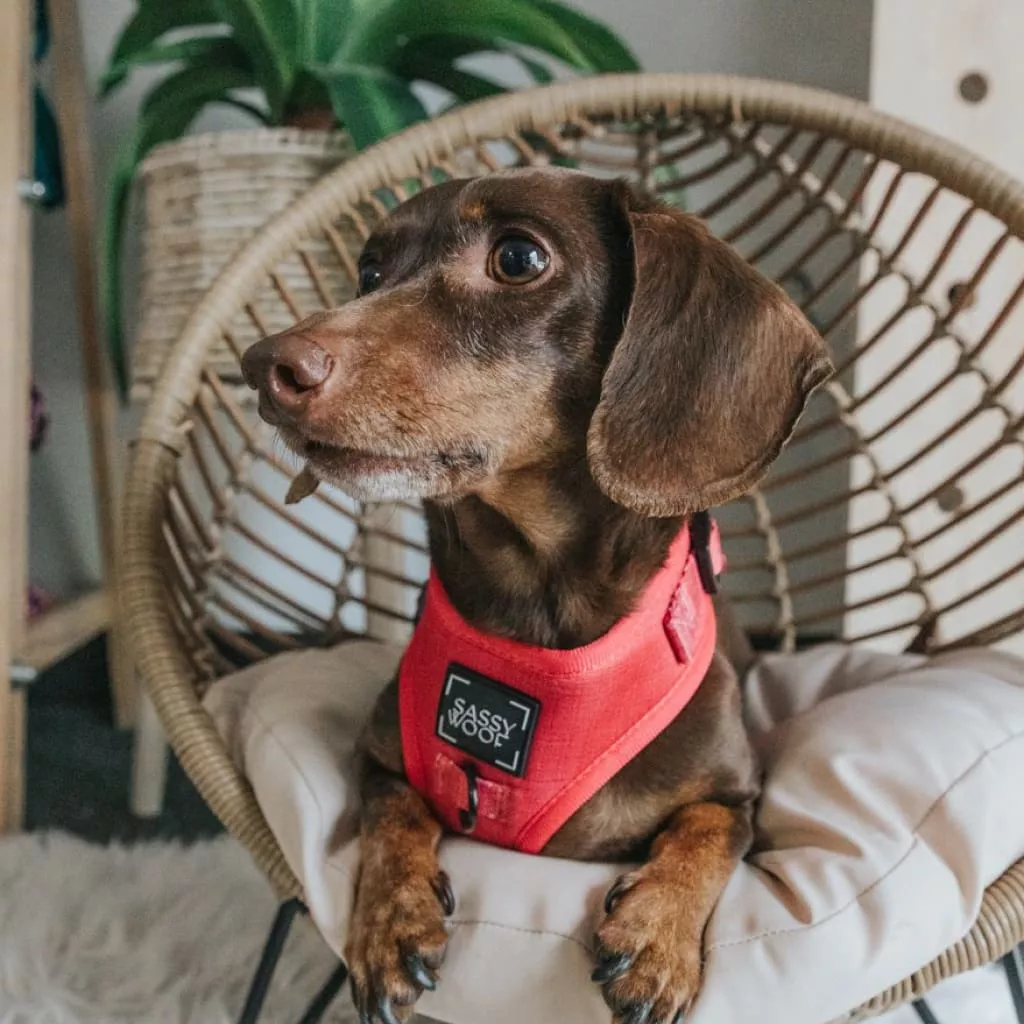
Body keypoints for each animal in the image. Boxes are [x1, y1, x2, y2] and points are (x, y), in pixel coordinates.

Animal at [241, 167, 831, 1024]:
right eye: (370, 271)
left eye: (518, 257)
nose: (263, 370)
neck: (534, 610)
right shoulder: (380, 759)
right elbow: (394, 816)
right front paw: (391, 922)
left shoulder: (736, 794)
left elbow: (707, 833)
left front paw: (655, 941)